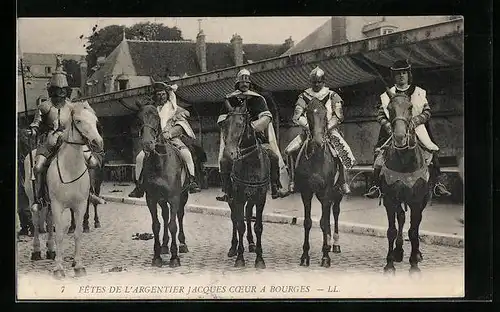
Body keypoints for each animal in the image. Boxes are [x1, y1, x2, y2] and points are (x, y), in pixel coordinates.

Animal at [23, 103, 102, 280]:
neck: (71, 168)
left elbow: (77, 233)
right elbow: (60, 234)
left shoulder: (80, 205)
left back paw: (51, 250)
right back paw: (37, 251)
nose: (98, 142)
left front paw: (78, 266)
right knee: (37, 224)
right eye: (78, 121)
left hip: (50, 205)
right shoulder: (58, 204)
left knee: (49, 221)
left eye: (95, 120)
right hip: (34, 201)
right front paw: (58, 269)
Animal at [137, 103, 189, 266]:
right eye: (139, 118)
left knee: (179, 216)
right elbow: (156, 225)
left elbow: (173, 225)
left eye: (156, 117)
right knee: (165, 216)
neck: (159, 163)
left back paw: (182, 244)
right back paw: (165, 246)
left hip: (183, 196)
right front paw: (157, 256)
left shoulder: (174, 198)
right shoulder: (152, 199)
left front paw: (175, 257)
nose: (147, 144)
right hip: (162, 200)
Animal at [222, 100, 270, 268]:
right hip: (232, 198)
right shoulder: (238, 197)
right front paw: (240, 258)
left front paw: (260, 259)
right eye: (224, 124)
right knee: (235, 219)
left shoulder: (260, 198)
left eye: (240, 123)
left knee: (248, 215)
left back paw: (251, 243)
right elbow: (239, 224)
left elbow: (258, 227)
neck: (251, 163)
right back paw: (233, 247)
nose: (228, 155)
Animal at [292, 98, 344, 268]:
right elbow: (308, 222)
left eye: (324, 113)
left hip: (337, 193)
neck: (316, 159)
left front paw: (325, 257)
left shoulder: (327, 191)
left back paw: (335, 245)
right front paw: (305, 256)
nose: (318, 141)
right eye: (308, 113)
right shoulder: (306, 192)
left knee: (335, 213)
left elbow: (323, 222)